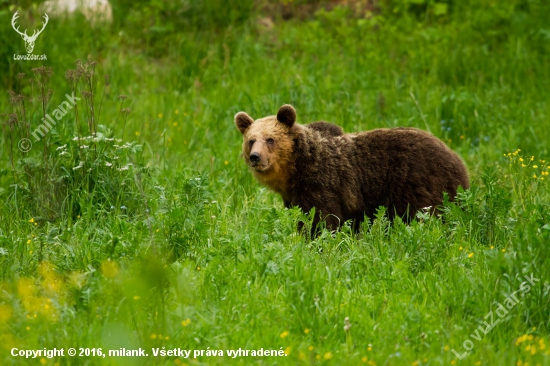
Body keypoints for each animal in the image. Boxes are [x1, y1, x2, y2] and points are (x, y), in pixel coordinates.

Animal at [235, 104, 472, 233]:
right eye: (251, 140)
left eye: (270, 139)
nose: (255, 157)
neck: (296, 170)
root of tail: (457, 160)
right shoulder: (294, 196)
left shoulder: (323, 184)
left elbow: (324, 221)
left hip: (417, 183)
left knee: (421, 217)